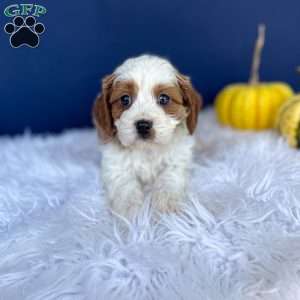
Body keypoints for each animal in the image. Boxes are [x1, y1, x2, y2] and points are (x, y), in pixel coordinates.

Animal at [93, 54, 202, 218]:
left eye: (163, 99)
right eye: (125, 99)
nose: (143, 125)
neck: (146, 150)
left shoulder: (178, 160)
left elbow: (169, 178)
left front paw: (167, 207)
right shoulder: (115, 165)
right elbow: (125, 185)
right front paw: (130, 213)